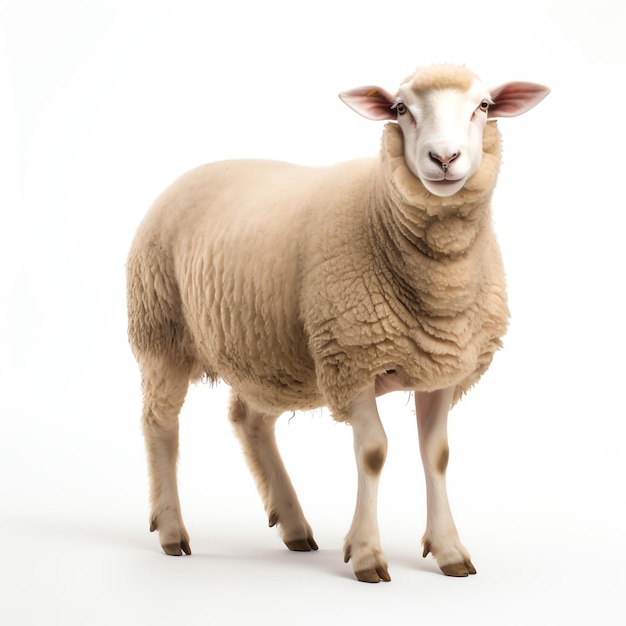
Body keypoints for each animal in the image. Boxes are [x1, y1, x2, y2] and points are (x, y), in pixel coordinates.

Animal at [125, 63, 544, 580]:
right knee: (160, 422)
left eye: (483, 106)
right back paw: (170, 530)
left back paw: (293, 525)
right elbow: (374, 452)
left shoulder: (443, 368)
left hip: (268, 350)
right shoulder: (352, 359)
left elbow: (438, 456)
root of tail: (187, 175)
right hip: (160, 332)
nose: (444, 158)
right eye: (400, 109)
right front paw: (366, 554)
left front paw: (449, 550)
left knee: (249, 421)